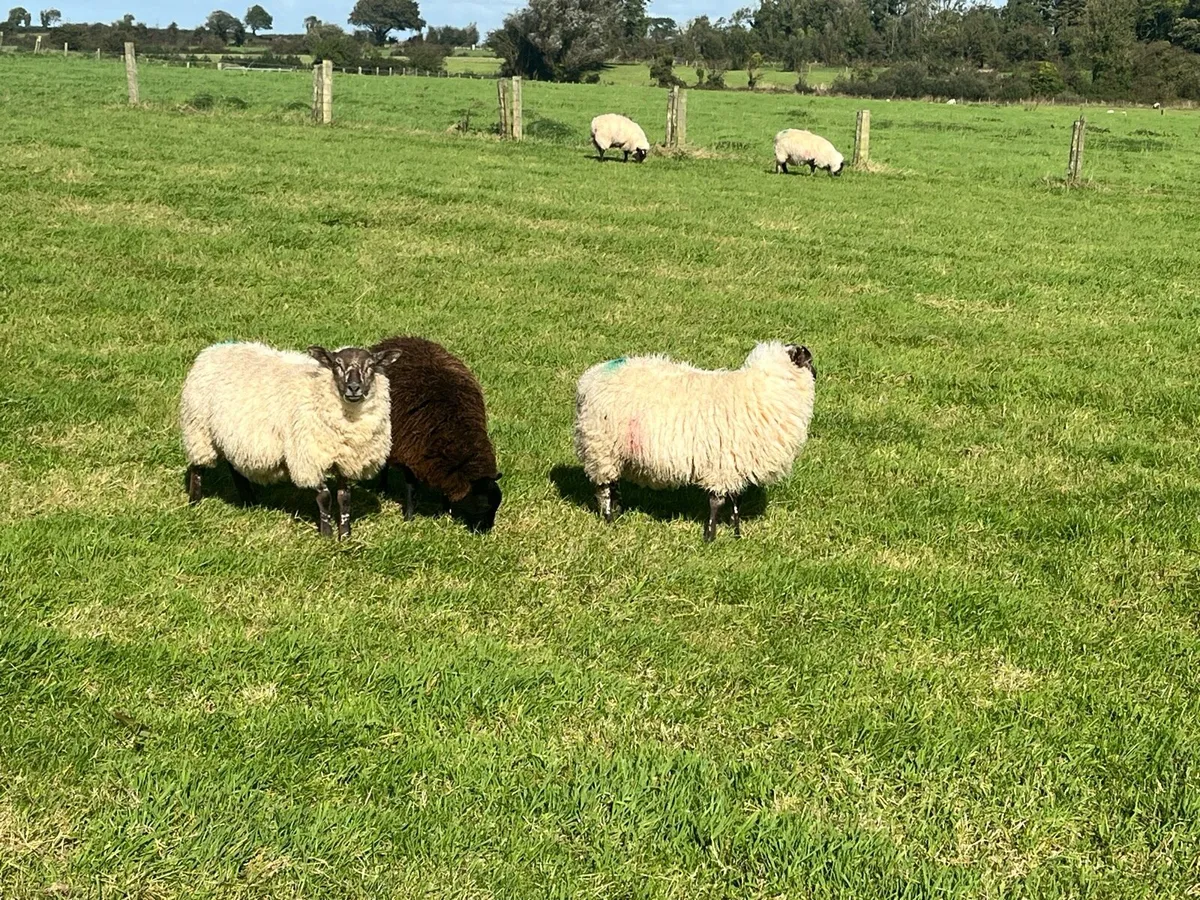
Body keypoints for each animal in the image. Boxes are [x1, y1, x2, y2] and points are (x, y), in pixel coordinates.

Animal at [180, 341, 401, 539]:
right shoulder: (307, 458)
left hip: (233, 436)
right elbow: (325, 497)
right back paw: (194, 503)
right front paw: (327, 535)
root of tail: (213, 349)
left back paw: (249, 501)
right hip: (199, 429)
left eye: (370, 366)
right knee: (197, 468)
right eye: (337, 365)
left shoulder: (346, 460)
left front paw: (345, 537)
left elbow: (344, 498)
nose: (353, 387)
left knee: (235, 467)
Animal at [371, 336, 502, 533]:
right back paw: (382, 488)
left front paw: (444, 511)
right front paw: (409, 517)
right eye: (484, 504)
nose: (485, 532)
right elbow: (410, 488)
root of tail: (395, 339)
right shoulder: (410, 452)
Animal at [573, 342, 816, 542]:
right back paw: (609, 518)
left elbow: (735, 500)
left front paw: (736, 533)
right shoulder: (722, 465)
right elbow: (717, 501)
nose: (817, 373)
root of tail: (589, 378)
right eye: (809, 359)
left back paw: (617, 512)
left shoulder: (735, 462)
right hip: (600, 446)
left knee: (614, 485)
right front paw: (710, 537)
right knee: (604, 487)